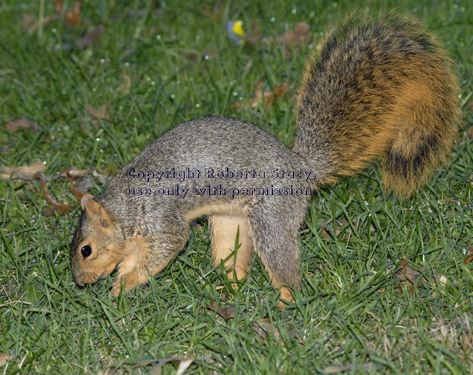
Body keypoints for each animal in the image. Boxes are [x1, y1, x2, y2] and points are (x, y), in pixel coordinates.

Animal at [69, 14, 458, 308]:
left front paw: (122, 284)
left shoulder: (162, 220)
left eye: (86, 250)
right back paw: (229, 290)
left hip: (272, 214)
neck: (127, 206)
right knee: (233, 259)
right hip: (230, 221)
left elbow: (167, 245)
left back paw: (286, 301)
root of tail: (301, 169)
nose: (80, 282)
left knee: (282, 262)